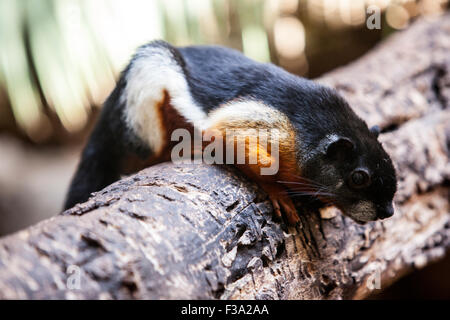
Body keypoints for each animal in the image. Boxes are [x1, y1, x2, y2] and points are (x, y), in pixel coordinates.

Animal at [64, 39, 398, 225]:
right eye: (358, 178)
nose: (387, 212)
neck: (315, 127)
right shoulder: (269, 123)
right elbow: (231, 138)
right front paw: (277, 192)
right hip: (146, 89)